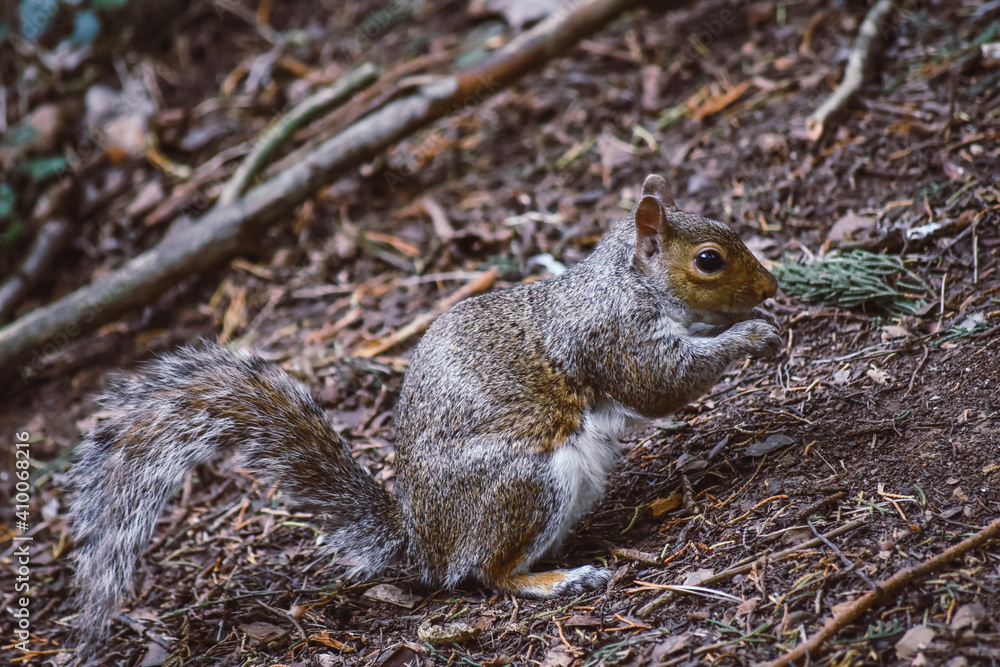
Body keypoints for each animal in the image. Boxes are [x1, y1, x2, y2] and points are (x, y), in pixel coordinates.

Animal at [68, 175, 780, 644]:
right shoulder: (613, 339)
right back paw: (557, 581)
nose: (772, 285)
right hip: (526, 484)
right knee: (488, 574)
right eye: (709, 260)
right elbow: (661, 382)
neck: (627, 282)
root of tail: (424, 545)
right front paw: (750, 335)